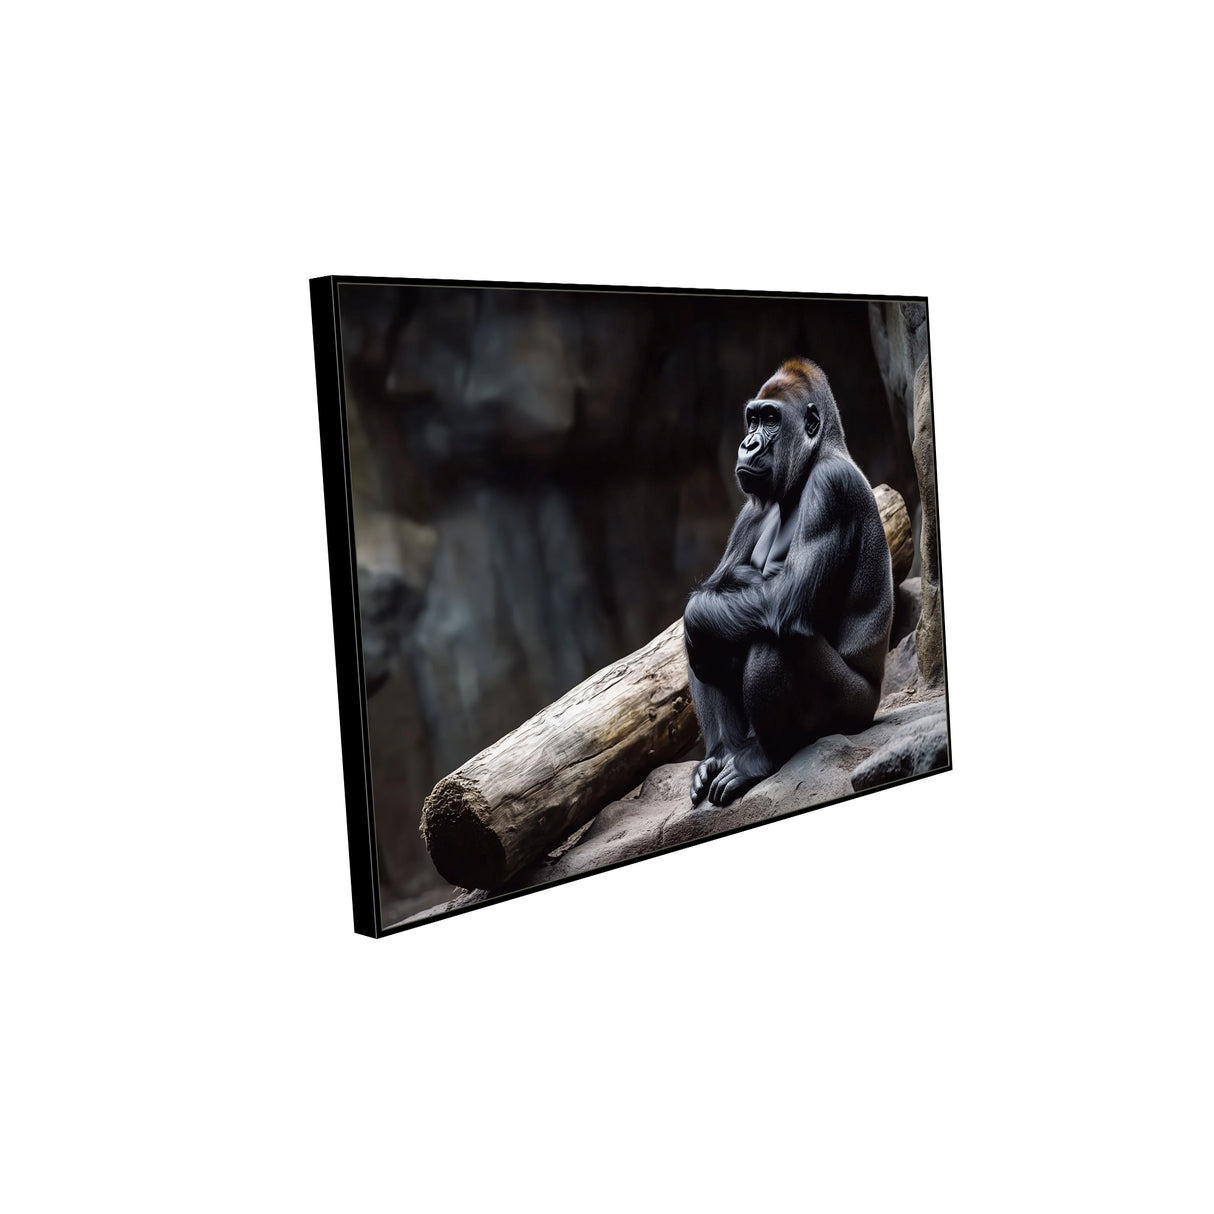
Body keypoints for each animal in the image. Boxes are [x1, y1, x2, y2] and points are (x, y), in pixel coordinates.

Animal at [683, 358, 893, 806]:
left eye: (771, 420)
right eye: (752, 419)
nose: (748, 445)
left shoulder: (832, 486)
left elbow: (777, 602)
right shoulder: (749, 511)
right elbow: (714, 591)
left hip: (855, 712)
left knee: (769, 638)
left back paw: (762, 759)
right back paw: (720, 753)